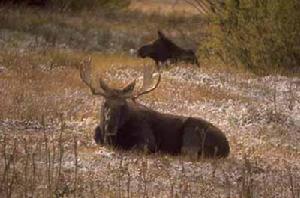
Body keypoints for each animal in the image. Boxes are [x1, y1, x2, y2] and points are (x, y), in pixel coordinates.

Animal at [78, 59, 229, 159]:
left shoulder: (148, 140)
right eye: (105, 103)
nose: (110, 126)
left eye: (123, 105)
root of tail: (227, 148)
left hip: (192, 135)